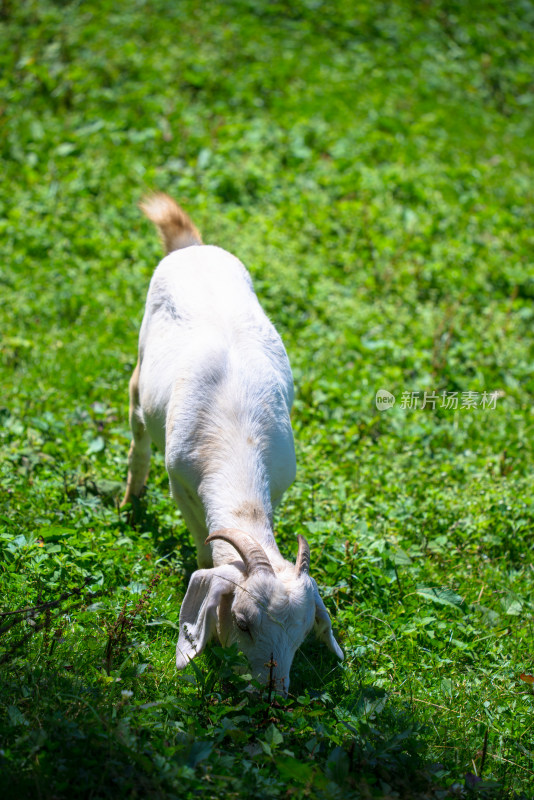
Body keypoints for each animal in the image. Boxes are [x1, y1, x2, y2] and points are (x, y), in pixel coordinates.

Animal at [122, 195, 344, 692]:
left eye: (303, 634)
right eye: (243, 622)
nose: (273, 693)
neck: (237, 443)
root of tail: (192, 247)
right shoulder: (181, 483)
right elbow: (203, 544)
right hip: (142, 367)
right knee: (138, 423)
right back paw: (131, 495)